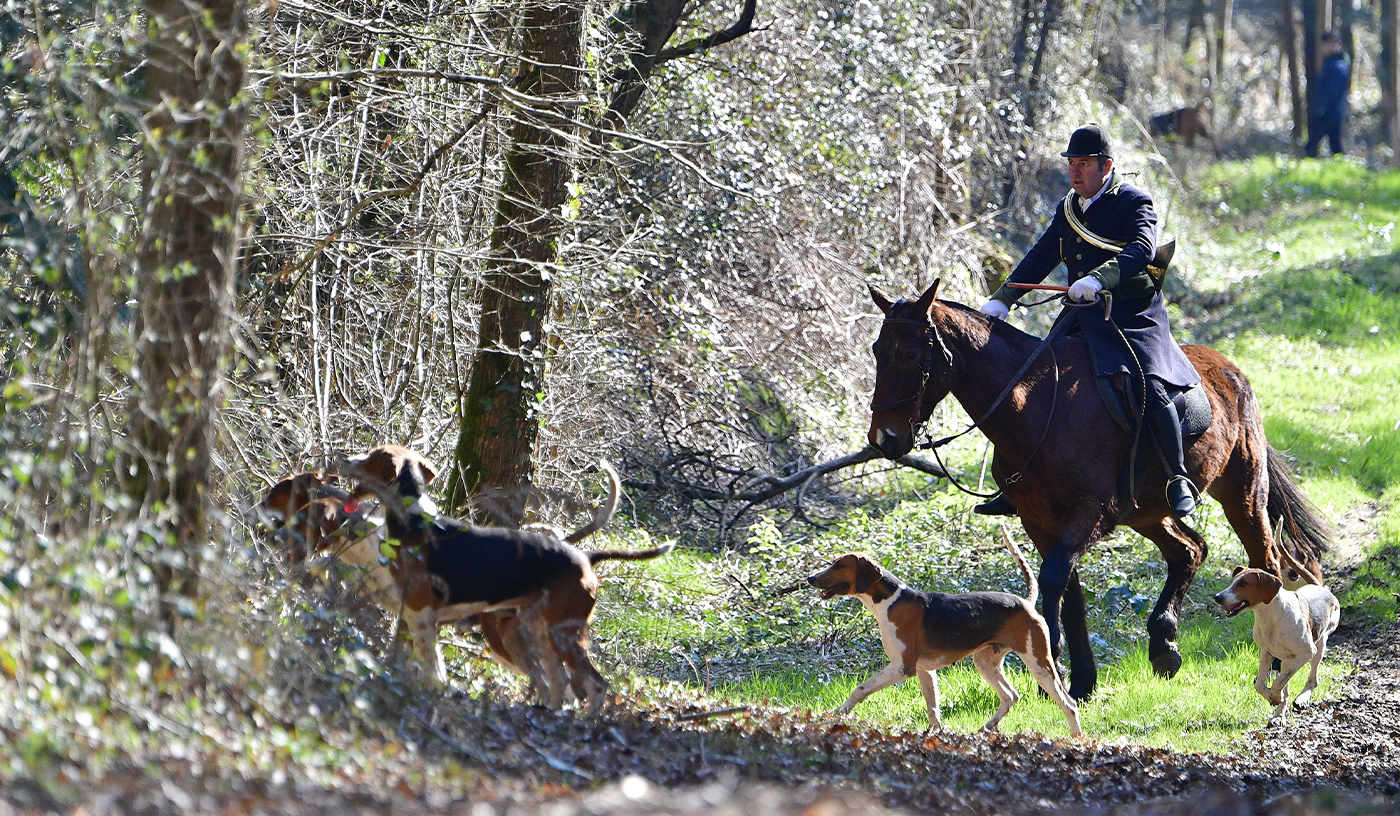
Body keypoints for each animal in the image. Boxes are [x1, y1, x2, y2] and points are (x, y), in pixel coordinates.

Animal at [862, 282, 1332, 702]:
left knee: (1264, 560)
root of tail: (1232, 369)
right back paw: (1164, 647)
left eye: (910, 353)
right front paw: (1081, 680)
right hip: (1147, 511)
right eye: (876, 350)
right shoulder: (1039, 520)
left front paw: (1049, 666)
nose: (884, 439)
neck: (1035, 407)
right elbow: (1071, 596)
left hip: (1242, 494)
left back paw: (1273, 658)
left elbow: (1053, 581)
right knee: (1189, 550)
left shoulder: (1089, 512)